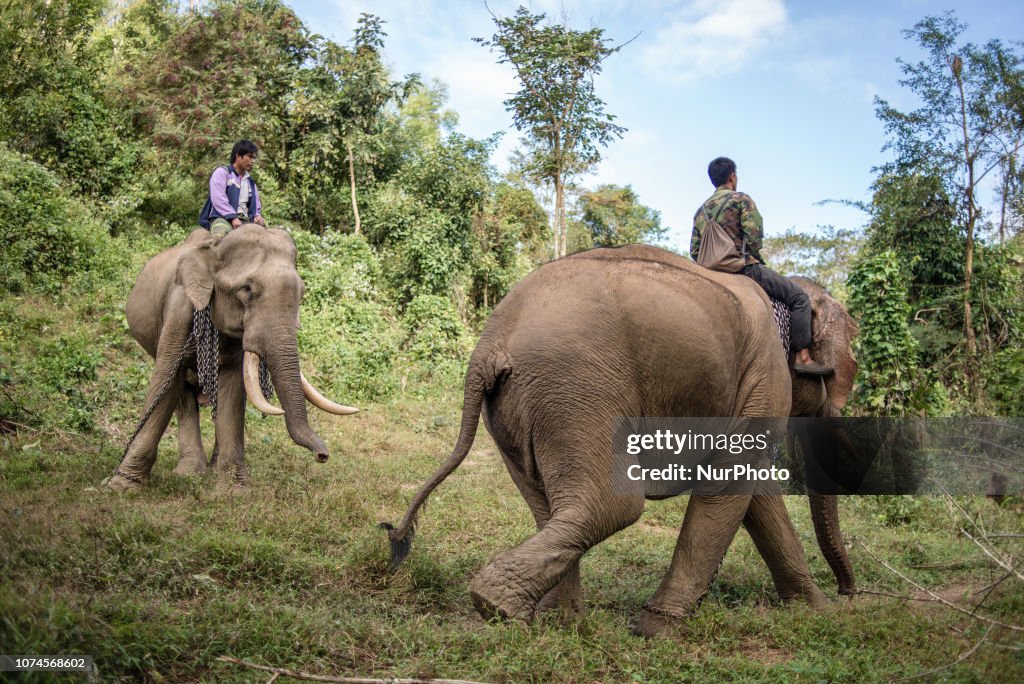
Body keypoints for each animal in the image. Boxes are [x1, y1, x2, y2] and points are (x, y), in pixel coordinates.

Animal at [108, 225, 356, 491]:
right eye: (246, 289)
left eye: (302, 293)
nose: (323, 456)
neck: (215, 248)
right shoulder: (178, 313)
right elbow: (165, 381)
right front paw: (121, 486)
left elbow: (232, 391)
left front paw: (233, 490)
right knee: (183, 392)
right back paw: (190, 473)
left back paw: (210, 469)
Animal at [385, 246, 856, 643]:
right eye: (839, 369)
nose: (849, 593)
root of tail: (489, 345)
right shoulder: (765, 373)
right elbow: (733, 485)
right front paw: (656, 631)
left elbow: (752, 493)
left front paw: (816, 612)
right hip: (576, 387)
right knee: (613, 505)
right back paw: (498, 606)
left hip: (521, 406)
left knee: (549, 505)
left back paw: (558, 622)